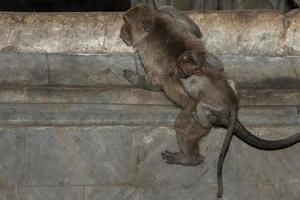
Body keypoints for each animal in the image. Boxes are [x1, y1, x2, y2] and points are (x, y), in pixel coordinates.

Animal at [177, 50, 238, 197]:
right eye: (185, 56)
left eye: (186, 61)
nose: (178, 60)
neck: (205, 69)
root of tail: (233, 104)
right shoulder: (213, 66)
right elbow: (219, 66)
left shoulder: (196, 81)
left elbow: (193, 94)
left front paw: (179, 77)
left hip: (220, 109)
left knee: (201, 105)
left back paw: (199, 118)